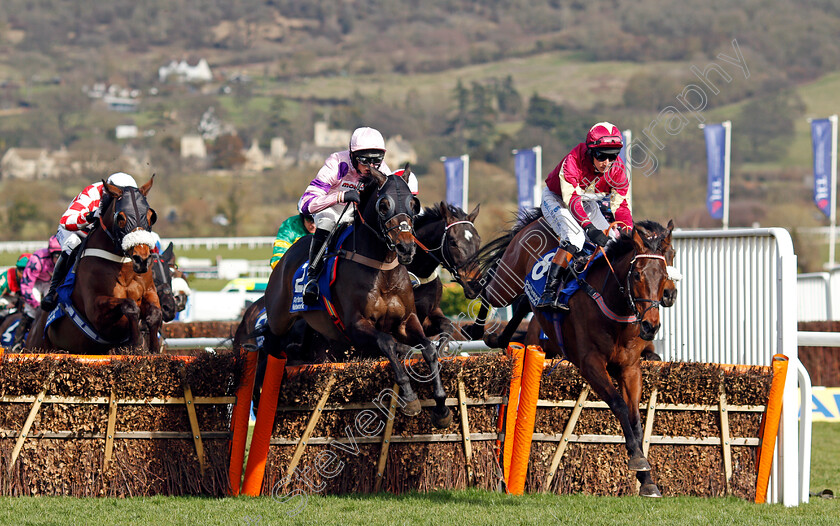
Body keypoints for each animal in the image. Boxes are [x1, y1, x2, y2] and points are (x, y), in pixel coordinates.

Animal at [26, 177, 162, 354]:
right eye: (121, 217)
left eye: (151, 216)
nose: (141, 260)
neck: (123, 268)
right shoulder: (95, 311)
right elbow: (129, 305)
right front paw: (137, 343)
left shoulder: (149, 292)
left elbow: (155, 313)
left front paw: (153, 347)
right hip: (38, 346)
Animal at [266, 167, 452, 432]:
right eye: (383, 205)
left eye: (413, 204)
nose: (406, 248)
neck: (382, 268)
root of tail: (285, 256)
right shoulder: (356, 325)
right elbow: (387, 342)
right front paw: (409, 397)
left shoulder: (407, 321)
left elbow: (428, 349)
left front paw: (441, 406)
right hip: (279, 320)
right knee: (270, 346)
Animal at [470, 210, 672, 500]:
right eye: (637, 275)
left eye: (664, 274)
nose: (650, 326)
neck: (613, 306)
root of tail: (538, 220)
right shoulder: (591, 364)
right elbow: (619, 405)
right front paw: (637, 460)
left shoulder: (630, 368)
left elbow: (635, 418)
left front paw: (647, 480)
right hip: (506, 282)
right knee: (488, 288)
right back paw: (476, 324)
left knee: (523, 303)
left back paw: (498, 338)